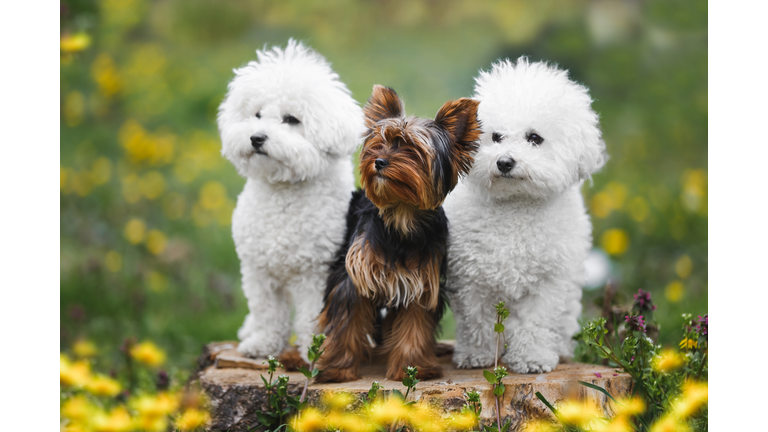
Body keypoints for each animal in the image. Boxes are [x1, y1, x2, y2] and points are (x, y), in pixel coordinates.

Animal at [218, 41, 364, 362]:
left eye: (291, 120)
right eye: (257, 114)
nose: (256, 138)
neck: (282, 193)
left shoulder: (316, 273)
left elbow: (312, 316)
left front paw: (316, 351)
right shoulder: (259, 272)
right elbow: (267, 312)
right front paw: (262, 344)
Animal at [316, 84, 476, 382]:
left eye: (412, 149)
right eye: (379, 143)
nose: (378, 161)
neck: (402, 214)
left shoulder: (422, 281)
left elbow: (415, 324)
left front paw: (412, 368)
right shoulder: (356, 275)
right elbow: (347, 320)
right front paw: (337, 368)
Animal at [444, 58, 608, 374]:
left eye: (534, 138)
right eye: (495, 137)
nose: (504, 162)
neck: (516, 207)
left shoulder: (549, 283)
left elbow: (535, 323)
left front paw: (532, 358)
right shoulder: (471, 278)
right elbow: (476, 322)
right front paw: (476, 356)